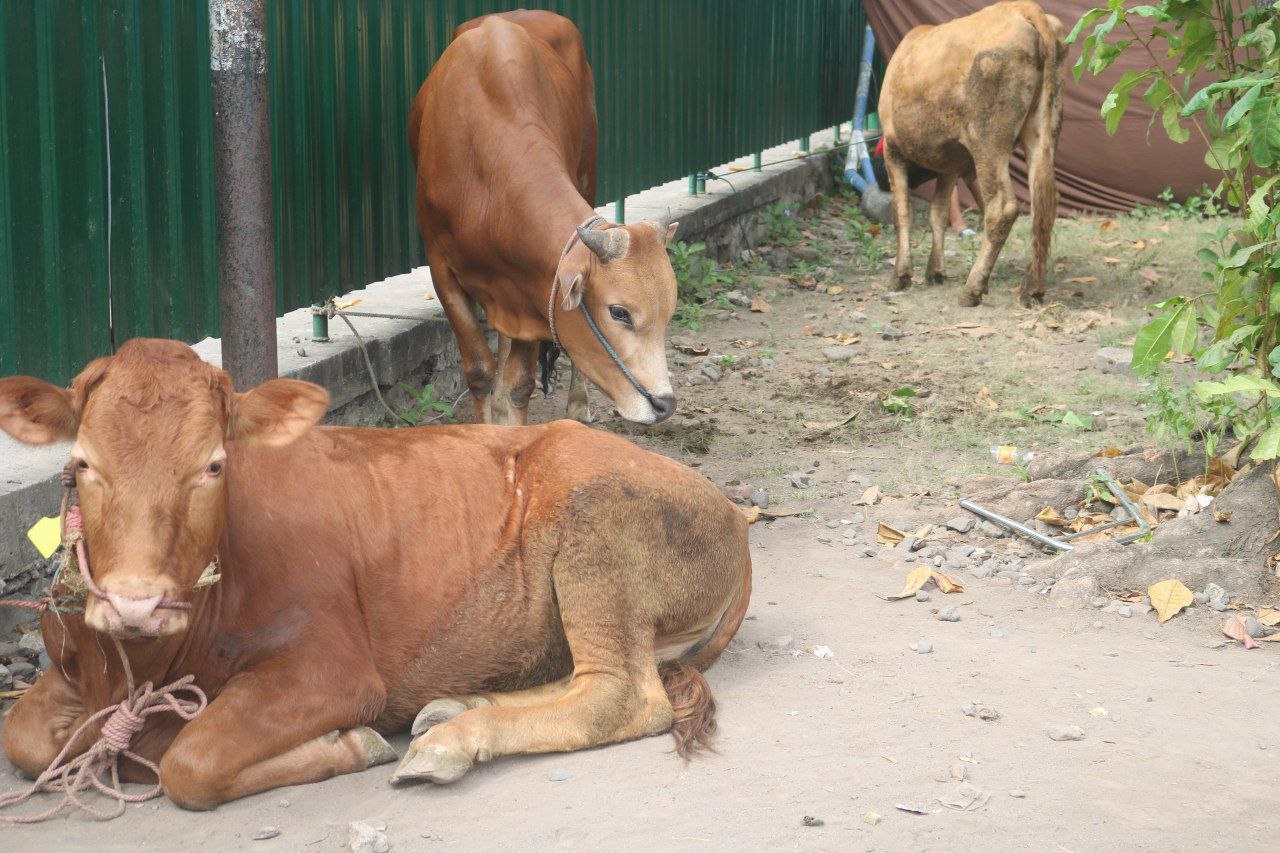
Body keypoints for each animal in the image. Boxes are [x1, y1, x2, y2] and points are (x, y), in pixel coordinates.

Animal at [0, 338, 747, 804]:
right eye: (83, 463)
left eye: (213, 464)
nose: (135, 605)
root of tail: (734, 516)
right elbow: (25, 736)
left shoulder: (333, 669)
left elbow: (191, 759)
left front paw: (352, 742)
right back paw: (457, 706)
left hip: (598, 531)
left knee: (620, 693)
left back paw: (451, 741)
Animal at [409, 9, 680, 425]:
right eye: (619, 312)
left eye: (668, 313)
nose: (664, 404)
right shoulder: (442, 268)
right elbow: (480, 373)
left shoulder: (530, 288)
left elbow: (517, 387)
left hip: (587, 174)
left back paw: (578, 403)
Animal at [880, 0, 1070, 306]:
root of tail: (1023, 8)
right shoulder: (949, 163)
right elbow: (938, 212)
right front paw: (935, 271)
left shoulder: (892, 147)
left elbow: (902, 212)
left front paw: (901, 275)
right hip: (1044, 129)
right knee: (1045, 200)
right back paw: (1032, 288)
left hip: (988, 142)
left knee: (1002, 208)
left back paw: (973, 288)